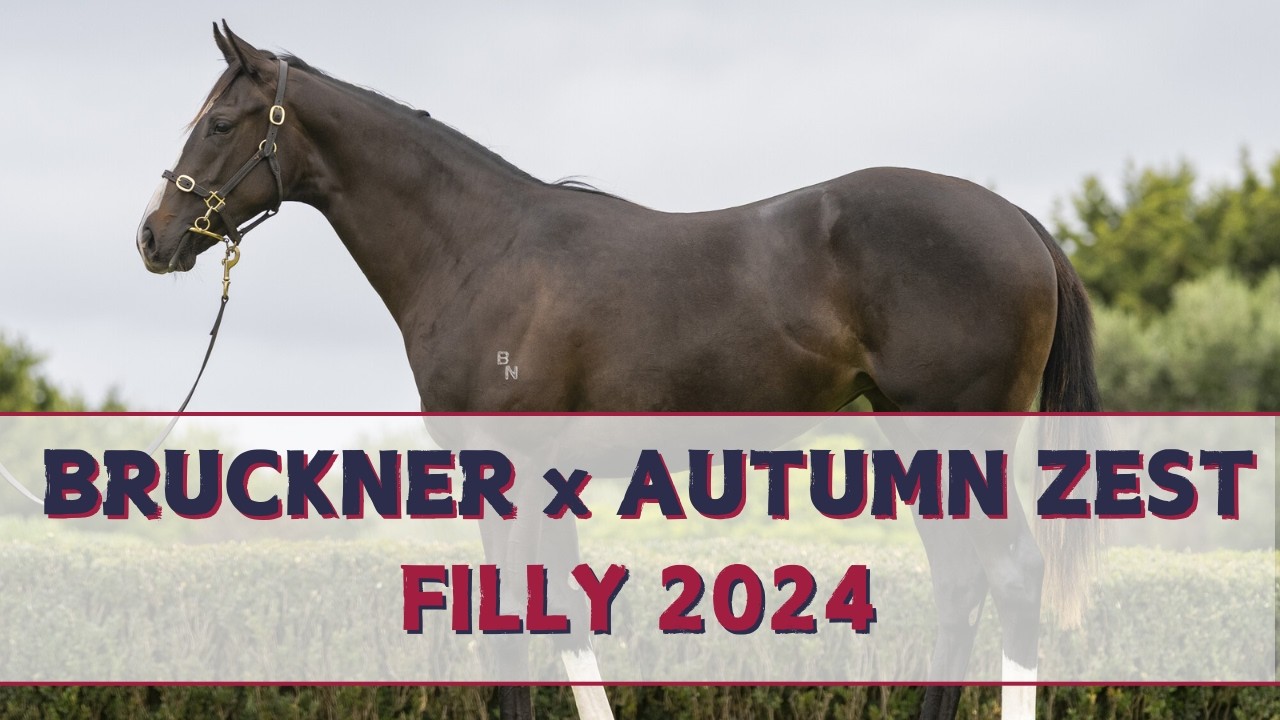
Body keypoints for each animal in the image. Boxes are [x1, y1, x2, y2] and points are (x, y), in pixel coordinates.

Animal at [136, 22, 1101, 720]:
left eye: (219, 124)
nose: (152, 236)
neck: (481, 250)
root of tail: (1019, 221)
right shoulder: (542, 479)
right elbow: (565, 621)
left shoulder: (507, 470)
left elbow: (511, 631)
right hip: (910, 440)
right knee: (961, 584)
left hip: (959, 434)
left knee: (1012, 575)